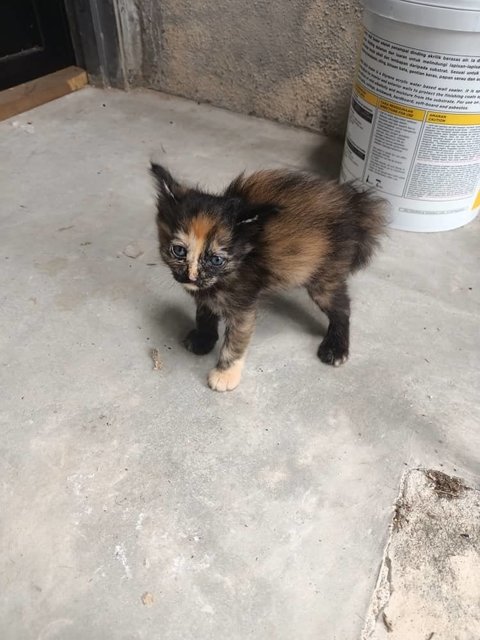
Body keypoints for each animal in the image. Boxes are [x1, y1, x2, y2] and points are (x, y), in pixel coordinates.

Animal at [151, 164, 386, 390]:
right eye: (179, 251)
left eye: (216, 260)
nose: (191, 277)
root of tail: (354, 205)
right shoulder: (207, 292)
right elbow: (204, 313)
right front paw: (203, 339)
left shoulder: (243, 305)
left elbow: (235, 342)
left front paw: (225, 375)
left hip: (325, 275)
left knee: (342, 308)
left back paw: (336, 348)